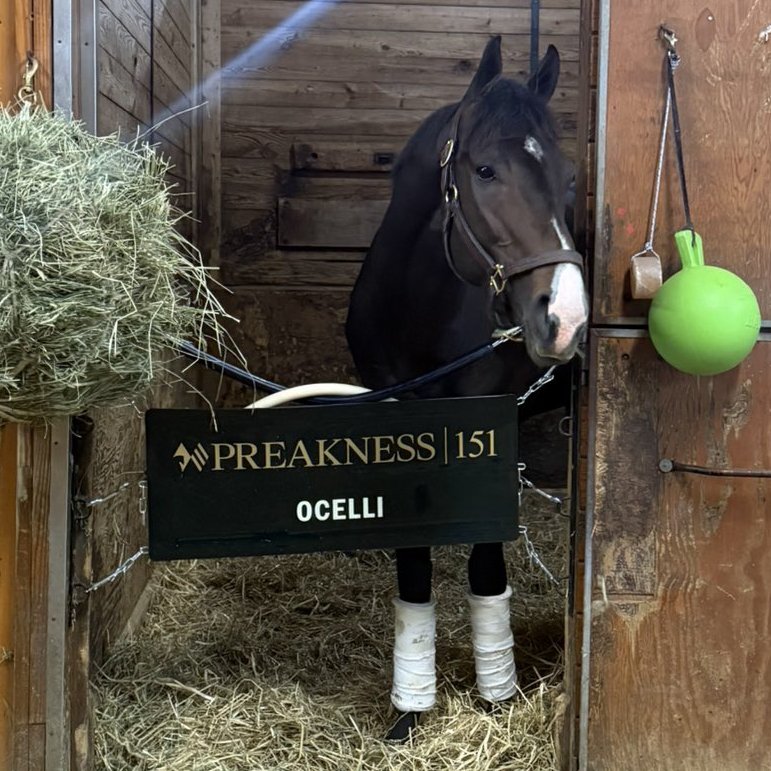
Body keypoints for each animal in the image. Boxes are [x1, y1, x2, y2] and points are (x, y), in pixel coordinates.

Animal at [345, 36, 588, 741]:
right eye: (485, 171)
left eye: (568, 178)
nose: (566, 318)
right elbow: (414, 563)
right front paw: (409, 709)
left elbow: (485, 565)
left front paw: (496, 694)